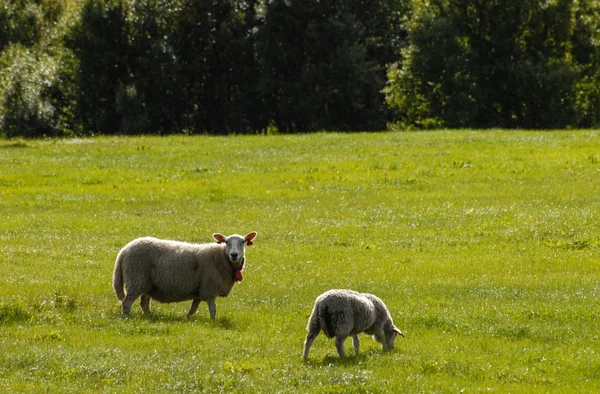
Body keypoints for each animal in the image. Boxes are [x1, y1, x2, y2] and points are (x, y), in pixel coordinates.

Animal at [111, 231, 256, 320]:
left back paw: (149, 316)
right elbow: (213, 309)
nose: (234, 254)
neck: (222, 259)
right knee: (127, 303)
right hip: (136, 280)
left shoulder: (200, 290)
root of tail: (124, 250)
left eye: (242, 242)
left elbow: (193, 309)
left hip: (146, 284)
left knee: (144, 303)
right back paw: (126, 317)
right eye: (226, 242)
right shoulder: (209, 289)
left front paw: (187, 319)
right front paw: (213, 322)